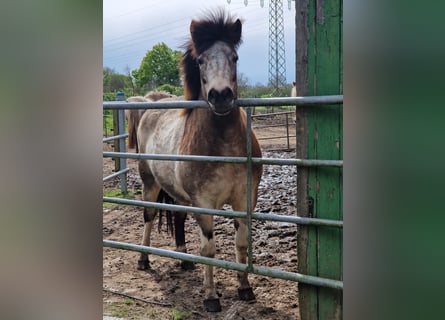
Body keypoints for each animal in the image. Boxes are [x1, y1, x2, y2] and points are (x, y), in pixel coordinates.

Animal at [135, 10, 262, 312]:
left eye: (234, 57)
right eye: (201, 60)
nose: (221, 95)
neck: (224, 147)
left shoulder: (244, 200)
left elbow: (241, 244)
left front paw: (245, 288)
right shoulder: (204, 204)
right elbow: (209, 249)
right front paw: (211, 296)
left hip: (178, 194)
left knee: (179, 218)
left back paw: (184, 261)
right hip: (149, 183)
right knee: (148, 216)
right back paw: (143, 259)